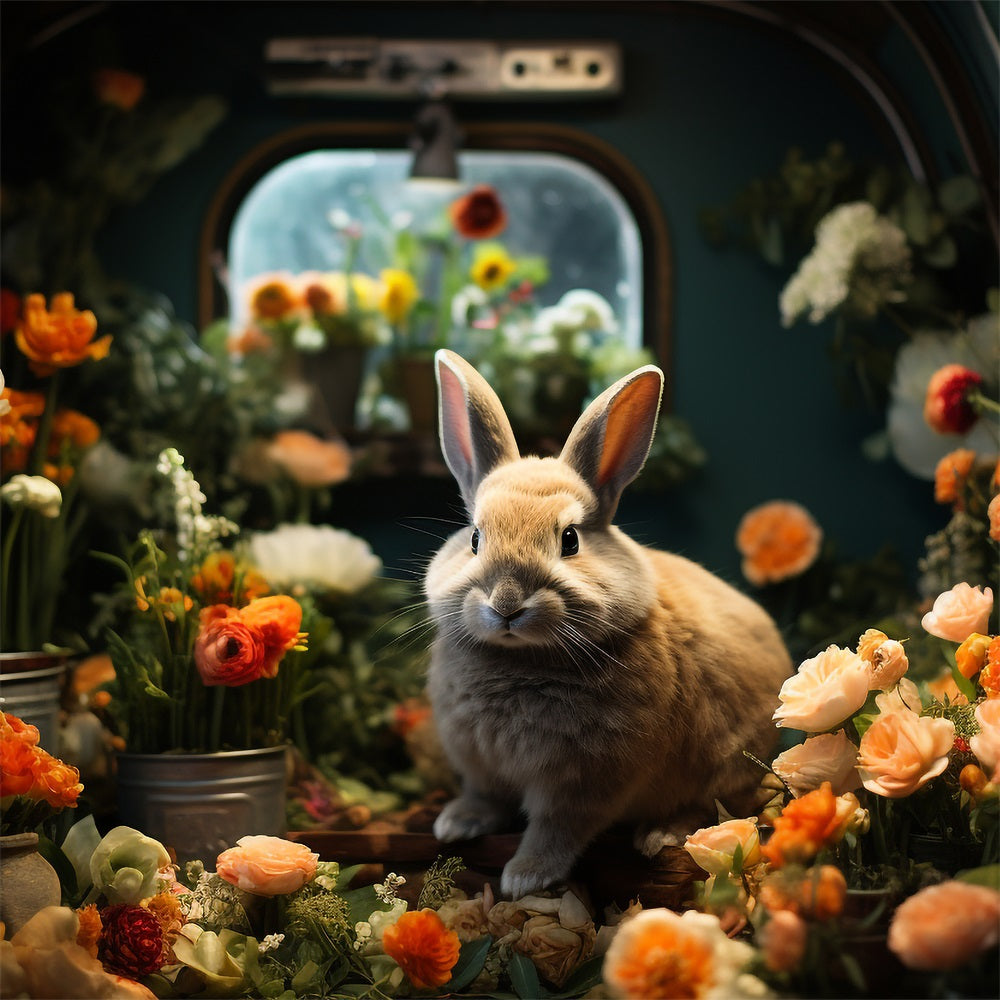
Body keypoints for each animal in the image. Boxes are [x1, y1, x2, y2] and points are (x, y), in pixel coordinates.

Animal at [424, 349, 792, 899]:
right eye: (474, 538)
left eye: (570, 539)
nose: (507, 603)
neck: (519, 658)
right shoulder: (479, 762)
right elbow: (484, 796)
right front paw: (454, 824)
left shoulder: (586, 781)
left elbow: (556, 829)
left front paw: (524, 878)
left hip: (722, 765)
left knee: (710, 807)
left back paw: (660, 835)